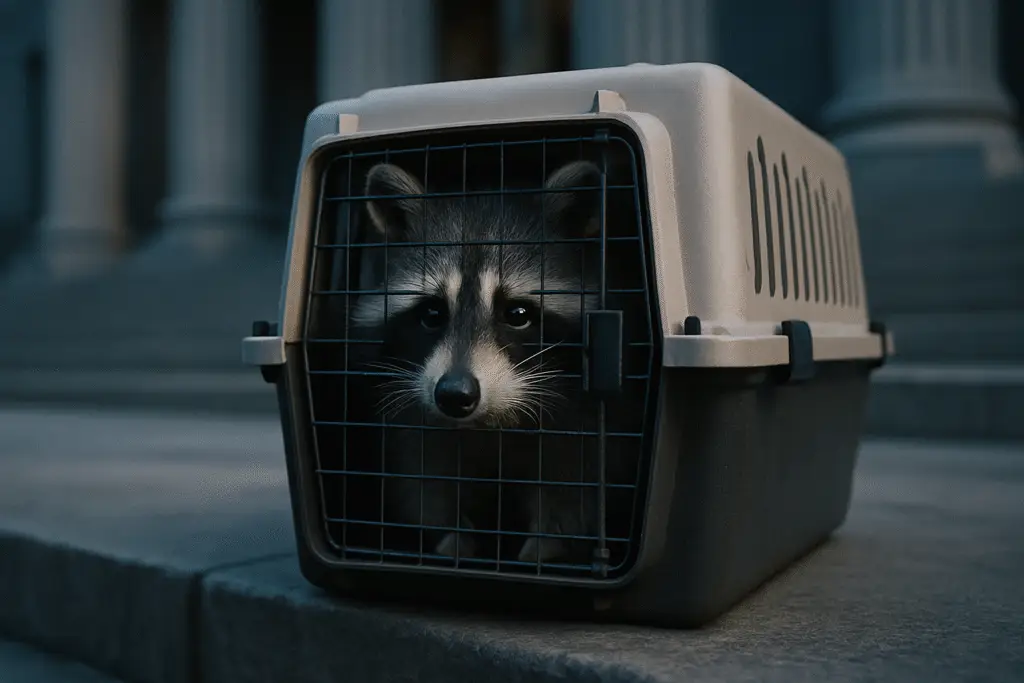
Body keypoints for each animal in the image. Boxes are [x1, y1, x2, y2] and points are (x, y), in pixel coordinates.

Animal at [349, 159, 610, 566]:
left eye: (517, 314)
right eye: (432, 314)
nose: (455, 395)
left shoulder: (578, 417)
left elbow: (571, 485)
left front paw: (545, 548)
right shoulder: (412, 414)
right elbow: (425, 477)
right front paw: (450, 540)